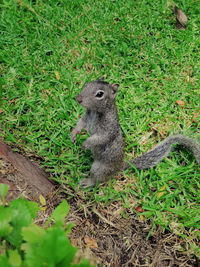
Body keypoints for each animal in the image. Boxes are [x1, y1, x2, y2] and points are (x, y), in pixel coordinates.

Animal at [70, 79, 200, 188]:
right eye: (86, 84)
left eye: (100, 94)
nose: (78, 98)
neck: (95, 112)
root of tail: (119, 166)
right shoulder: (86, 117)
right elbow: (80, 124)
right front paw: (73, 134)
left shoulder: (108, 128)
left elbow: (101, 138)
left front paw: (85, 144)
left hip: (100, 168)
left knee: (98, 179)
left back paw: (87, 182)